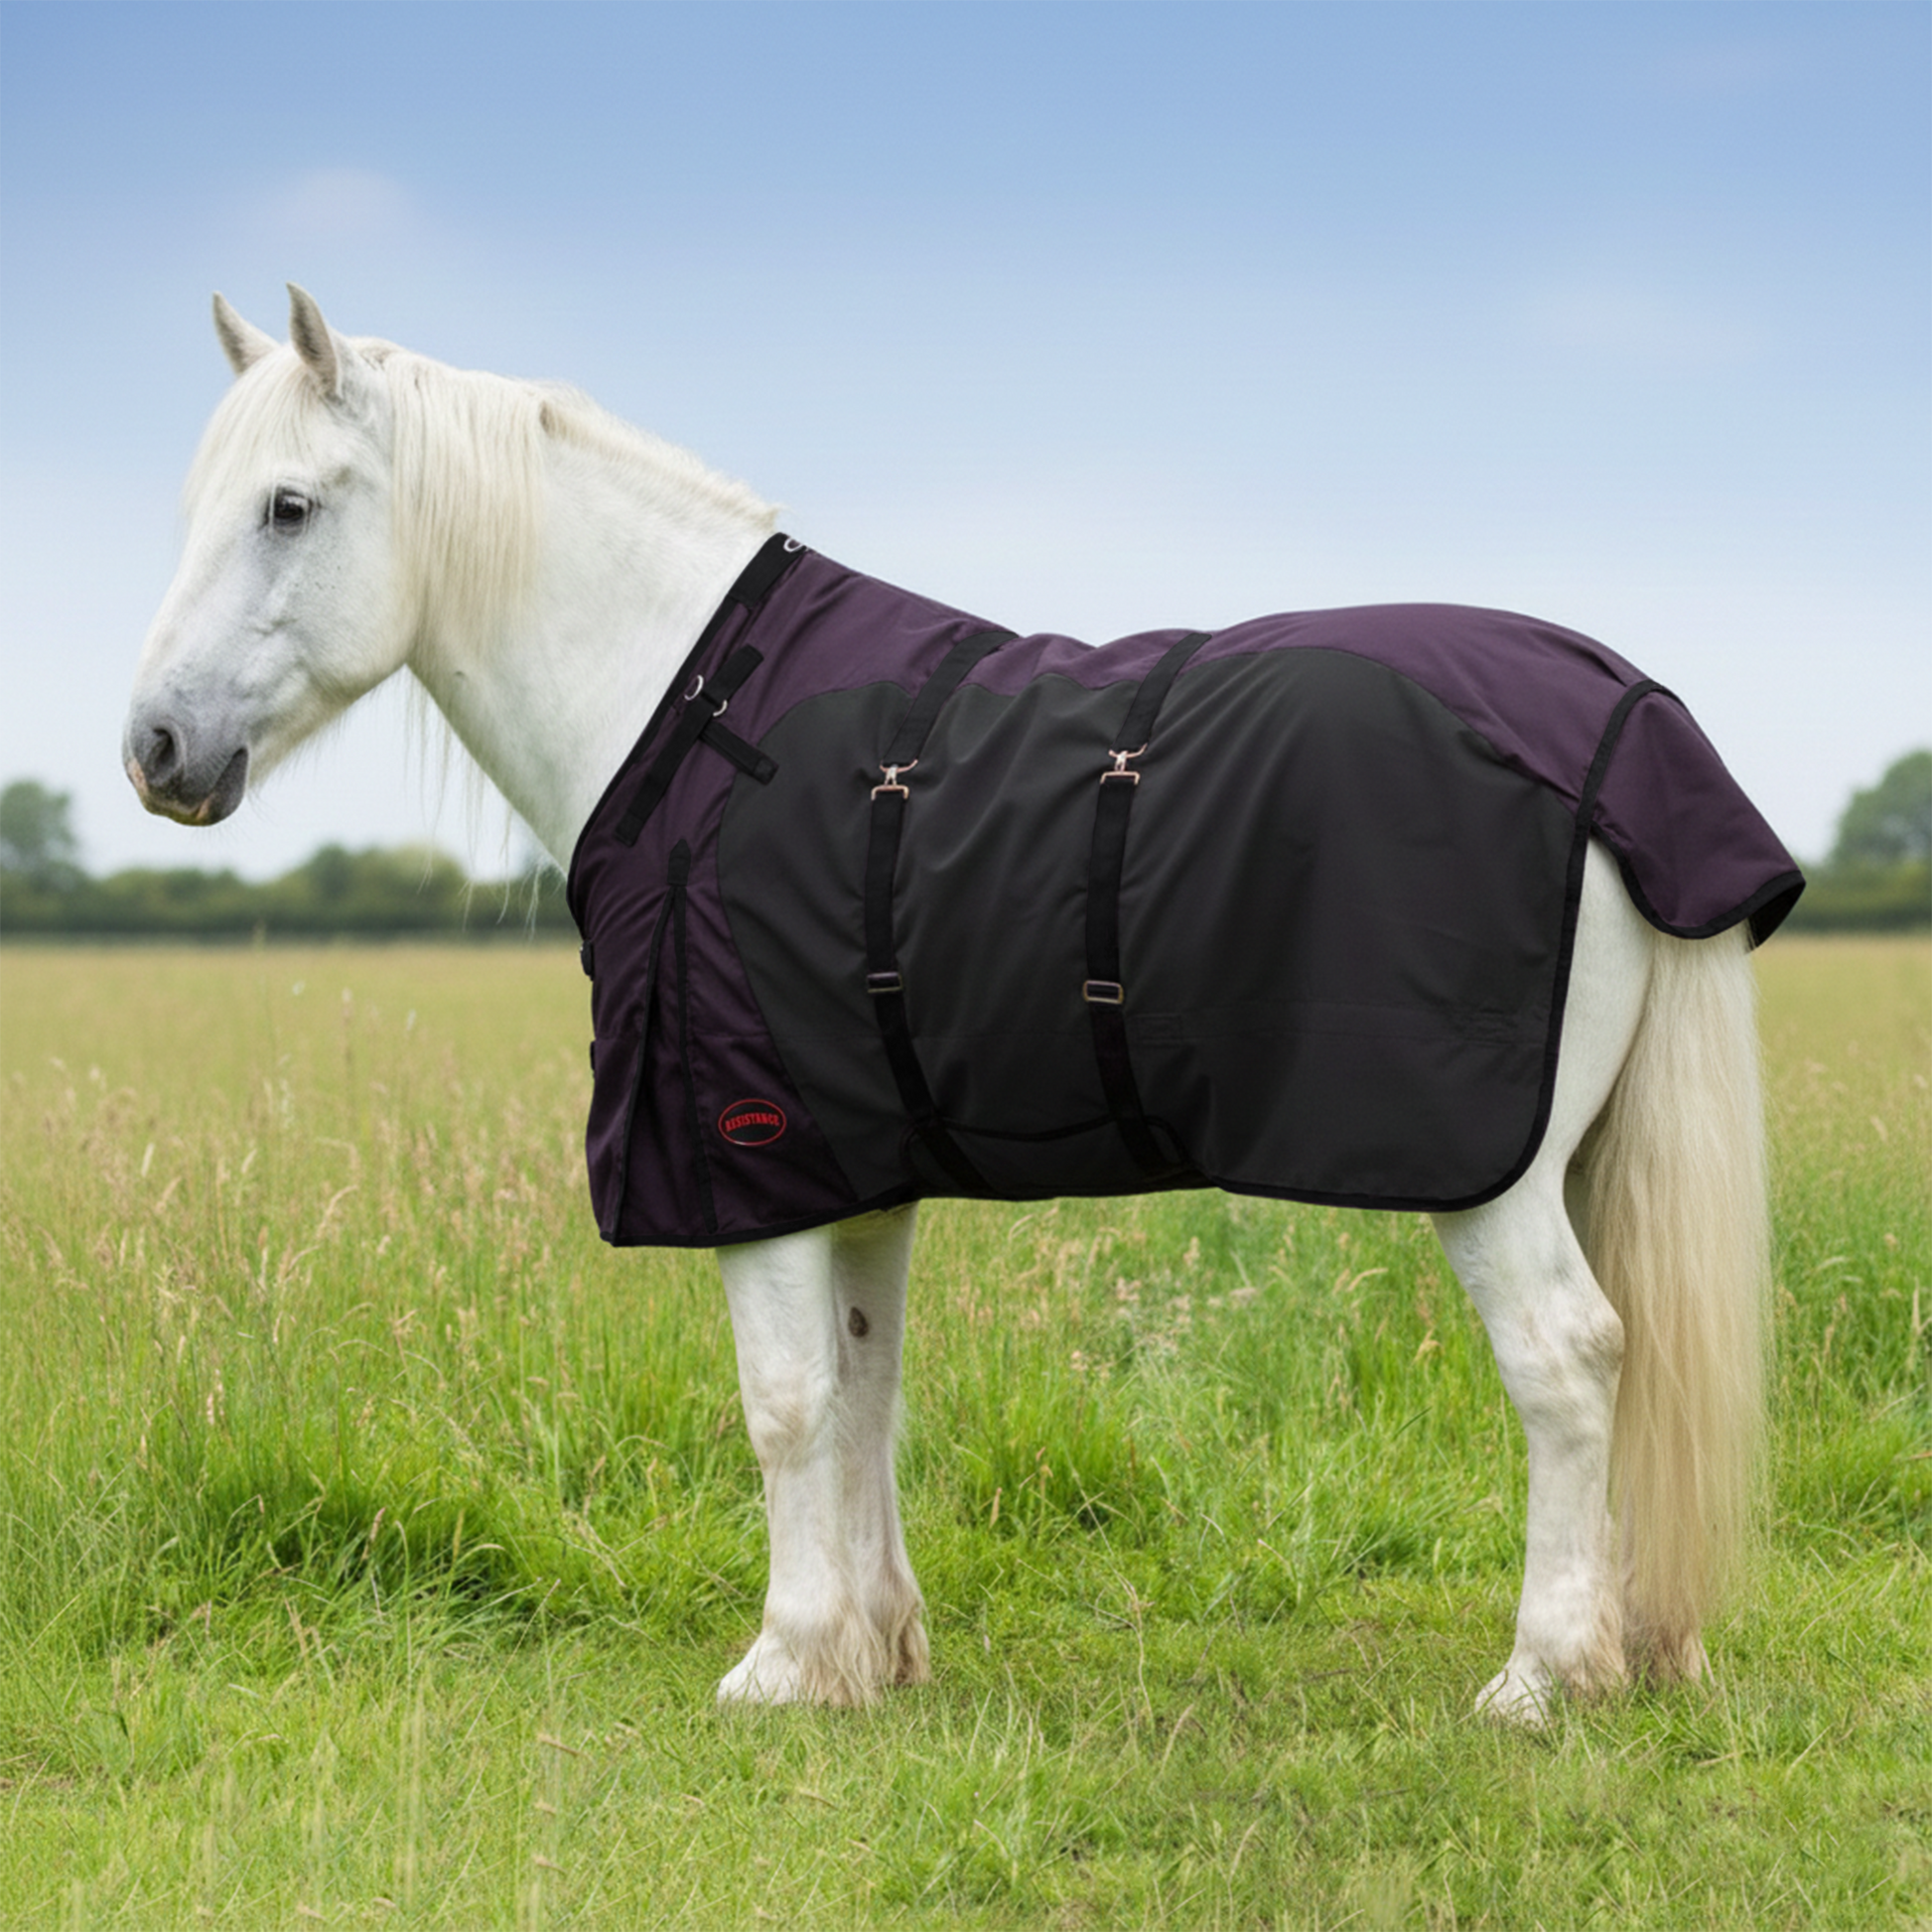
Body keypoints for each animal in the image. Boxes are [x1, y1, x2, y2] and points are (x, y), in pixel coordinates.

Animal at [125, 285, 1796, 1724]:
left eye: (289, 506)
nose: (153, 747)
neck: (697, 722)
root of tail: (1620, 720)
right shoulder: (856, 1172)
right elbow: (866, 1389)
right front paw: (875, 1649)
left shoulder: (747, 1162)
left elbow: (785, 1401)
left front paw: (782, 1660)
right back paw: (1638, 1645)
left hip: (1489, 1170)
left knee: (1568, 1359)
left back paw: (1543, 1674)